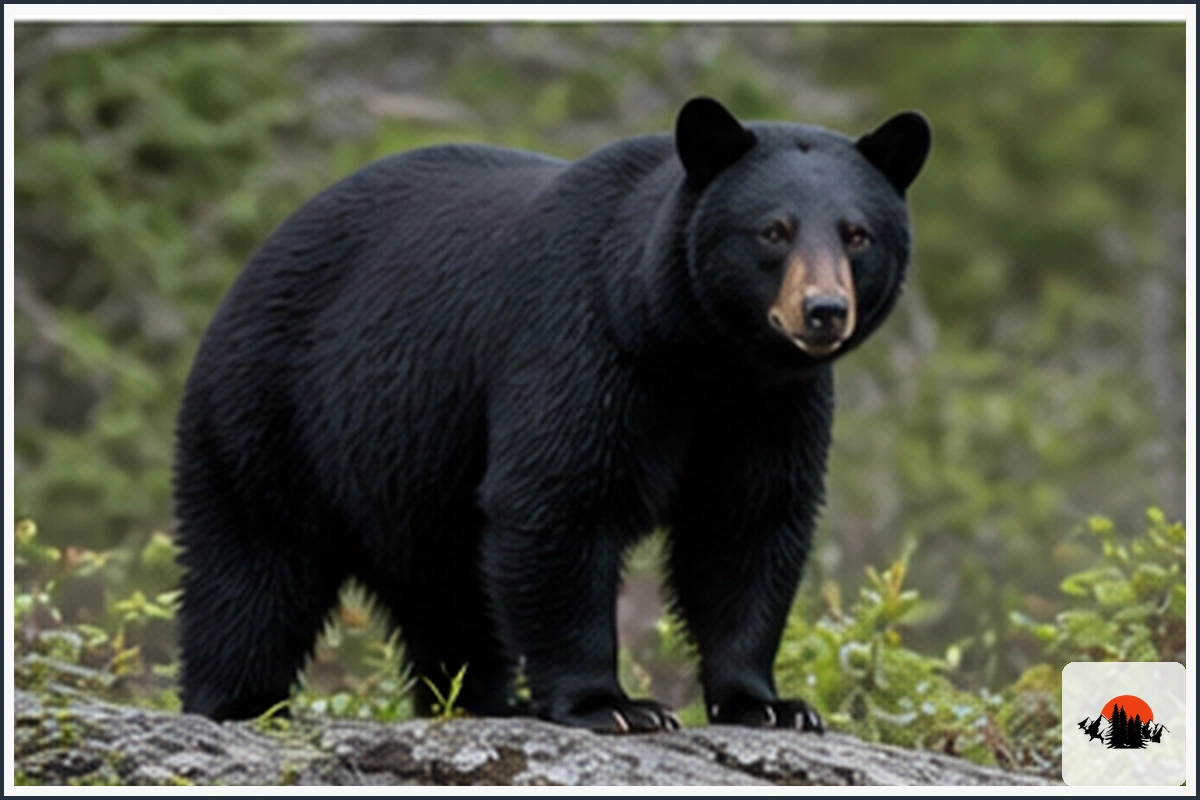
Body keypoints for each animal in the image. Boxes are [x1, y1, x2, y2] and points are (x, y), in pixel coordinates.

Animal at [174, 97, 931, 733]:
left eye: (857, 235)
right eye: (773, 230)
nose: (823, 311)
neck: (698, 354)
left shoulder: (772, 404)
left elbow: (746, 526)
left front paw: (767, 704)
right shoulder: (584, 345)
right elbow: (559, 500)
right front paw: (613, 705)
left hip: (412, 486)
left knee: (451, 597)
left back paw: (483, 702)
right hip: (274, 412)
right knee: (250, 567)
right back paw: (239, 702)